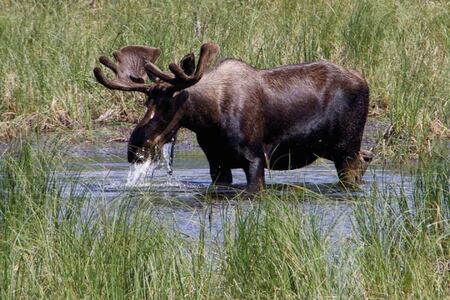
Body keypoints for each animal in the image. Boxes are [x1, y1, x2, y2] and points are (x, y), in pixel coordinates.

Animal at [92, 43, 372, 191]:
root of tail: (364, 81)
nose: (135, 148)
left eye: (168, 104)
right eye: (146, 102)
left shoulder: (256, 158)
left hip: (346, 148)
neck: (209, 121)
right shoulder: (217, 163)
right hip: (336, 150)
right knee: (367, 158)